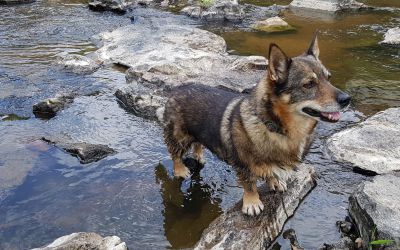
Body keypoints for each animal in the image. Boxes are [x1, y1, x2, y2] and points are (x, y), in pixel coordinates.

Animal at [159, 34, 350, 216]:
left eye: (329, 78)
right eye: (309, 84)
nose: (347, 99)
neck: (276, 127)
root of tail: (177, 89)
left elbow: (272, 171)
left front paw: (275, 181)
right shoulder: (244, 165)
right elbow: (249, 184)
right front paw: (252, 203)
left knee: (198, 142)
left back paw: (199, 155)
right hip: (179, 136)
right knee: (175, 153)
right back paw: (180, 170)